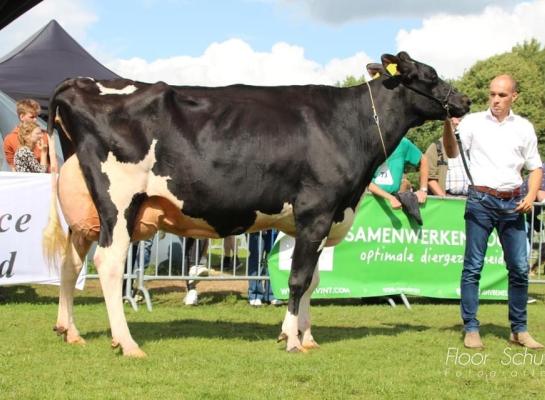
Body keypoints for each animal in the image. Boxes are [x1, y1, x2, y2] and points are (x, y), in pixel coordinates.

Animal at [43, 50, 468, 356]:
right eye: (429, 75)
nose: (464, 99)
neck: (349, 125)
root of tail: (80, 83)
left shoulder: (315, 220)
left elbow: (314, 280)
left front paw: (308, 337)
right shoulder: (316, 211)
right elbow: (298, 280)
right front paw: (291, 339)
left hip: (86, 211)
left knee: (71, 263)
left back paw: (70, 331)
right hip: (119, 202)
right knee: (109, 263)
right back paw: (127, 342)